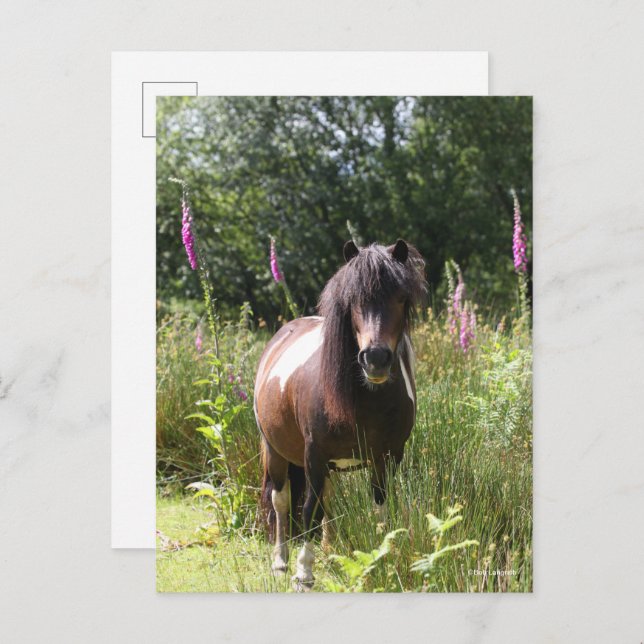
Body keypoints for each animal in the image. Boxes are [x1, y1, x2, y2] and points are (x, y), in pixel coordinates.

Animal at [253, 239, 426, 590]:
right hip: (275, 452)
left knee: (328, 503)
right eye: (353, 300)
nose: (375, 358)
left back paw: (329, 552)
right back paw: (281, 560)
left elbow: (380, 509)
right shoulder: (314, 455)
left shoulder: (388, 457)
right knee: (282, 501)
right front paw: (303, 573)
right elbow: (308, 510)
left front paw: (381, 559)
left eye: (401, 298)